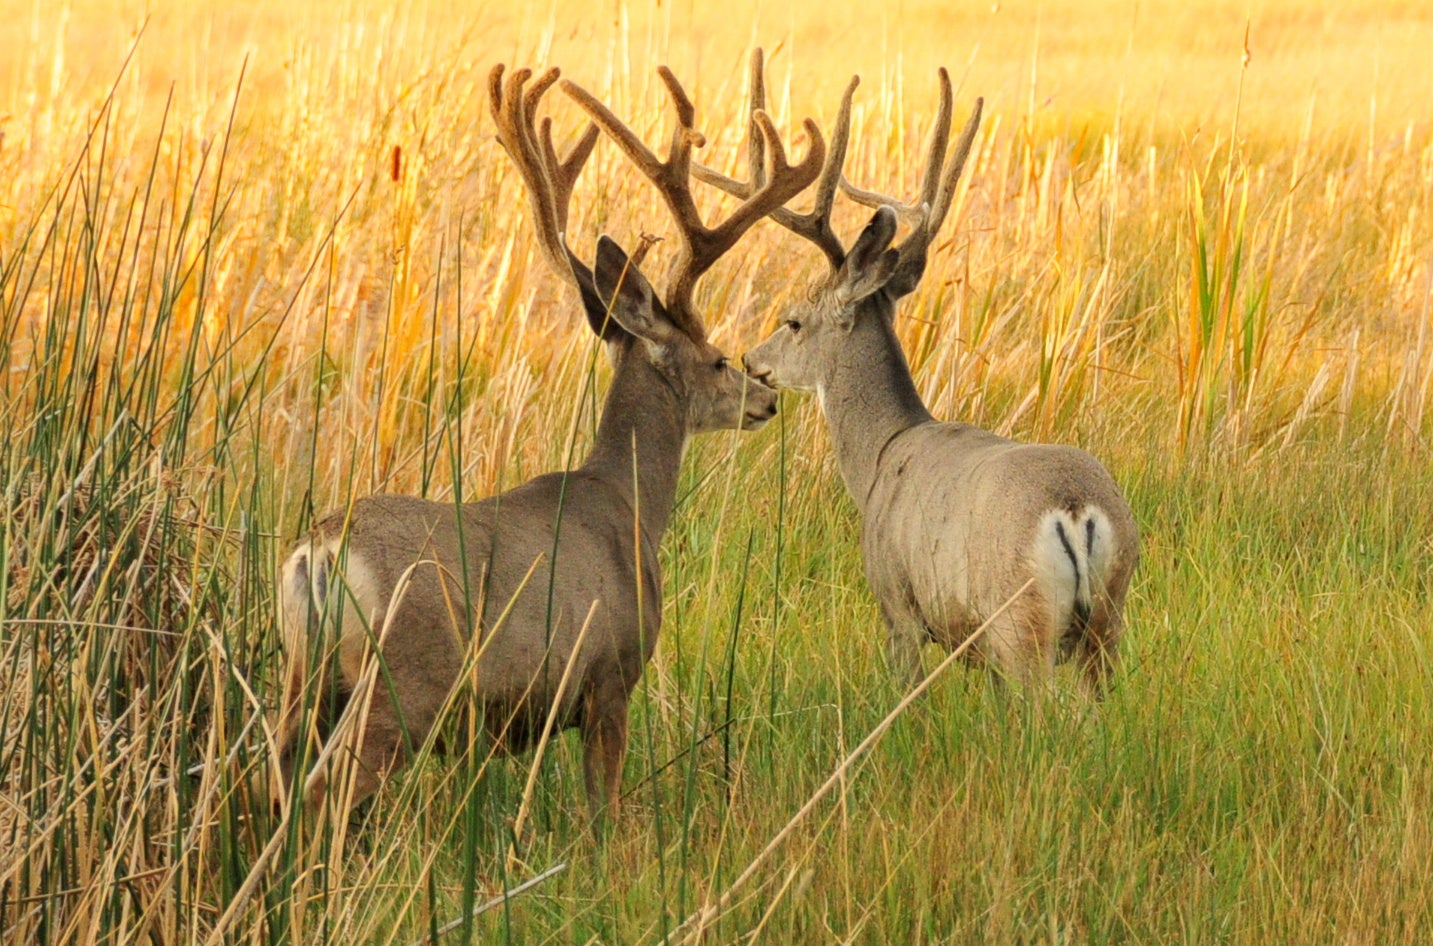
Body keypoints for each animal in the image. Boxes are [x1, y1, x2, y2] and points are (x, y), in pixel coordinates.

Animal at [271, 62, 826, 829]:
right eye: (717, 360)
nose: (766, 397)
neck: (629, 505)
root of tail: (321, 552)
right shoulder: (608, 675)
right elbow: (604, 810)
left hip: (305, 678)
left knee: (268, 777)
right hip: (406, 677)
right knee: (328, 786)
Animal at [704, 52, 1139, 694]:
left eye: (794, 320)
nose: (752, 361)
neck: (881, 455)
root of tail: (1076, 508)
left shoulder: (898, 605)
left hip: (1021, 621)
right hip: (1107, 621)